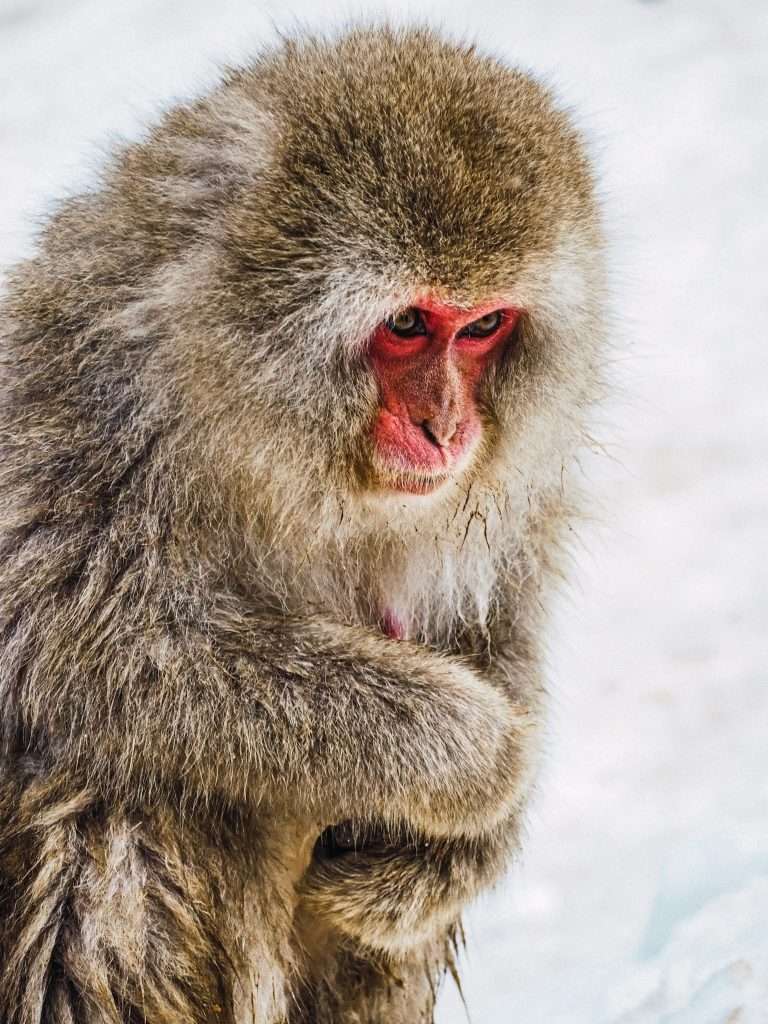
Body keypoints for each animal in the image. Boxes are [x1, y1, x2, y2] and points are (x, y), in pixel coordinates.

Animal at [0, 24, 605, 1024]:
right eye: (408, 323)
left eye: (482, 326)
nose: (448, 428)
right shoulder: (71, 406)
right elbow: (77, 642)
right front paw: (469, 752)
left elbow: (492, 617)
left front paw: (465, 843)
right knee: (110, 797)